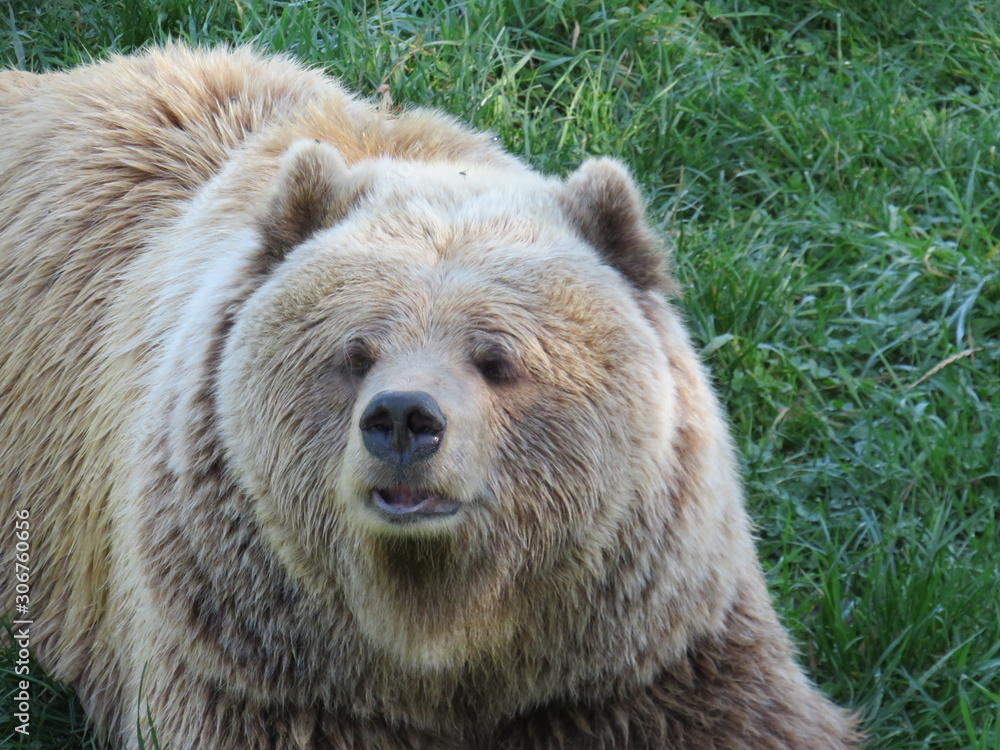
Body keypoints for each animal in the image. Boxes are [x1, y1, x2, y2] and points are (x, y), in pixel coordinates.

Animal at [0, 45, 859, 749]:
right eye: (355, 353)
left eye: (497, 358)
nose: (404, 420)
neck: (440, 637)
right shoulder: (258, 669)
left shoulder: (645, 652)